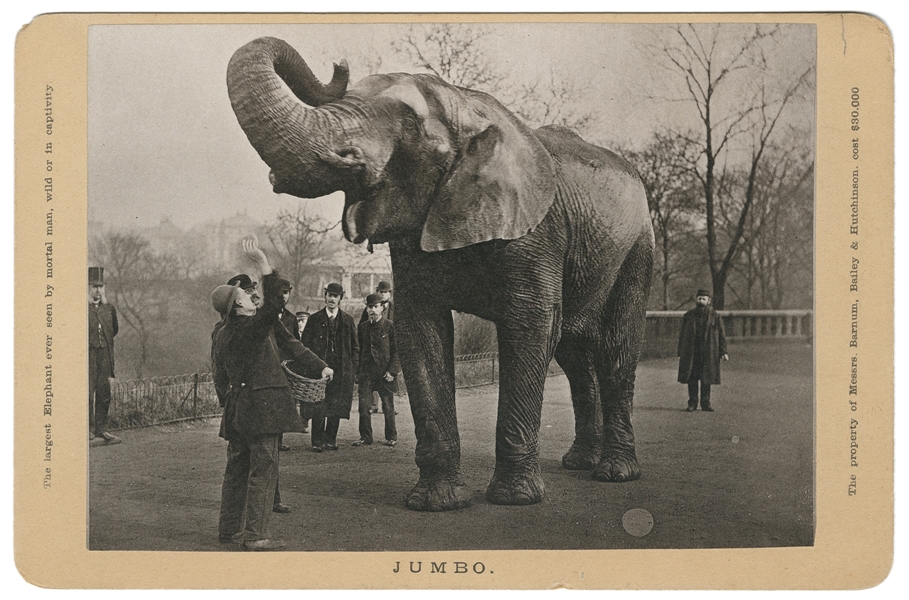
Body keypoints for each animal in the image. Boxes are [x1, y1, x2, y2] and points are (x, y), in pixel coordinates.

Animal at [227, 35, 652, 508]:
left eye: (409, 124)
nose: (339, 64)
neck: (470, 107)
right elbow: (420, 328)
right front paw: (435, 502)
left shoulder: (536, 232)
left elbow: (530, 325)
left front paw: (514, 499)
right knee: (574, 354)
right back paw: (579, 462)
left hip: (636, 249)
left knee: (615, 349)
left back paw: (614, 472)